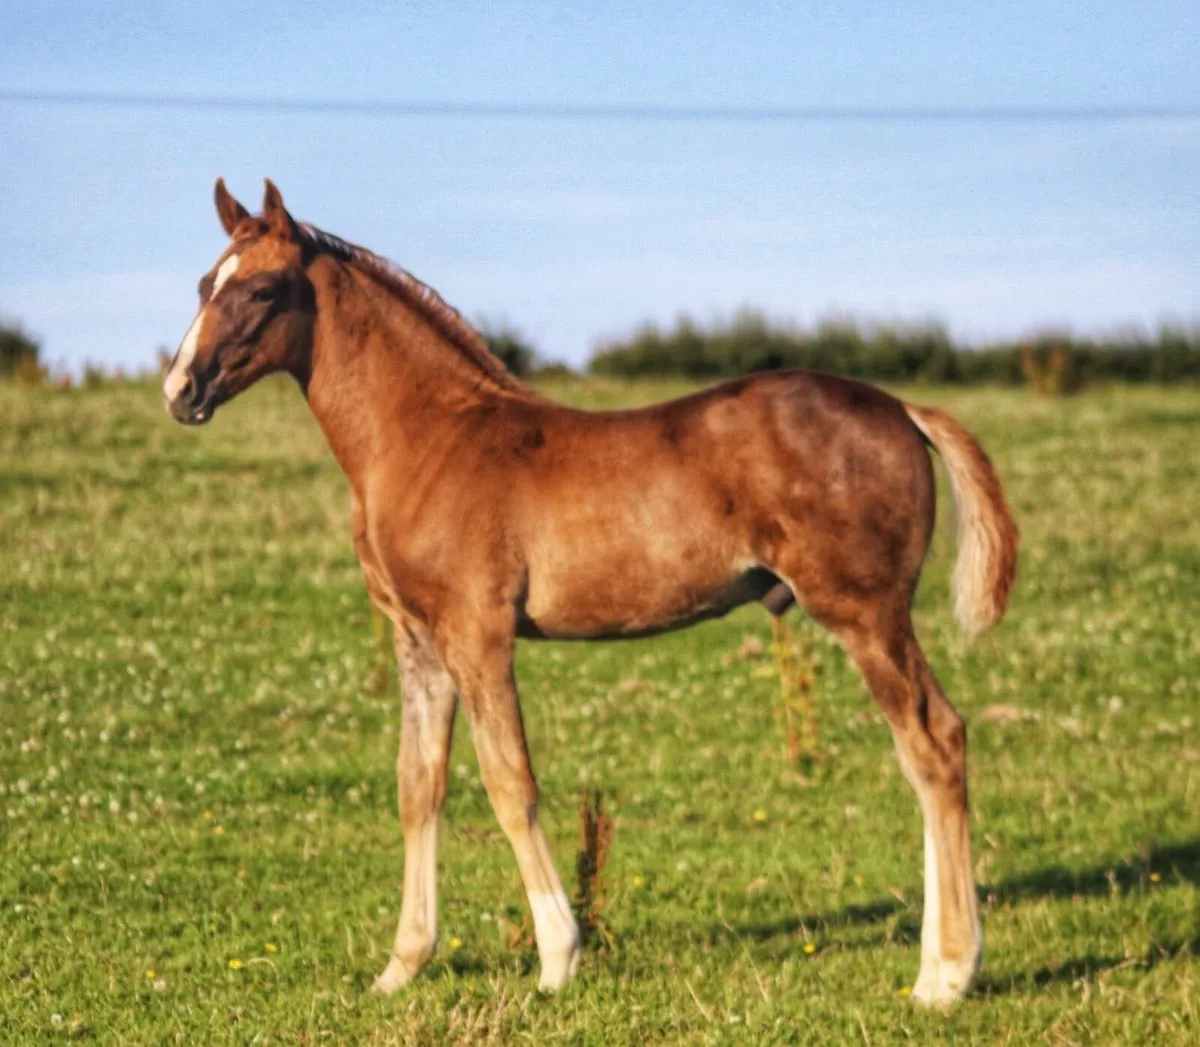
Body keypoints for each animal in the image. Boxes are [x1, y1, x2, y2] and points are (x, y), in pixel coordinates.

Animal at [163, 179, 1017, 1006]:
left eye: (264, 289)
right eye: (205, 283)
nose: (180, 389)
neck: (430, 438)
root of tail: (903, 408)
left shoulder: (477, 633)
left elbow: (510, 783)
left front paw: (557, 958)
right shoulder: (420, 641)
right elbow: (418, 786)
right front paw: (401, 965)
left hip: (866, 612)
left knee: (934, 741)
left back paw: (945, 975)